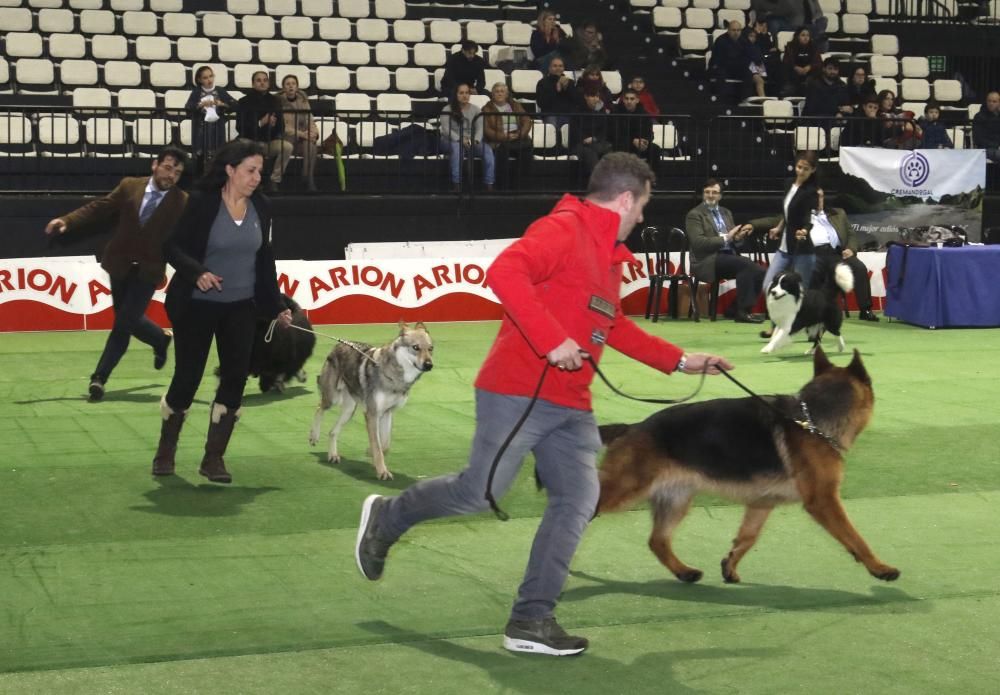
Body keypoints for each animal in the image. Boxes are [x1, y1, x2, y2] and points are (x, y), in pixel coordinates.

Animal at [308, 324, 434, 482]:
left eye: (431, 348)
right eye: (416, 347)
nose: (429, 365)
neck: (394, 378)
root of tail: (338, 344)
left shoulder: (387, 413)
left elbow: (385, 445)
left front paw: (371, 455)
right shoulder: (372, 414)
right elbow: (378, 446)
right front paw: (382, 472)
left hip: (349, 410)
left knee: (332, 432)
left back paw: (333, 456)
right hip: (333, 399)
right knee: (319, 408)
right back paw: (314, 437)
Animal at [592, 350, 900, 584]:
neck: (811, 420)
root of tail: (631, 427)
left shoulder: (762, 502)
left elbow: (748, 537)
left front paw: (730, 565)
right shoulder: (824, 501)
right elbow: (855, 536)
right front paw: (879, 567)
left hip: (677, 500)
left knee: (657, 541)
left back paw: (684, 572)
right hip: (625, 489)